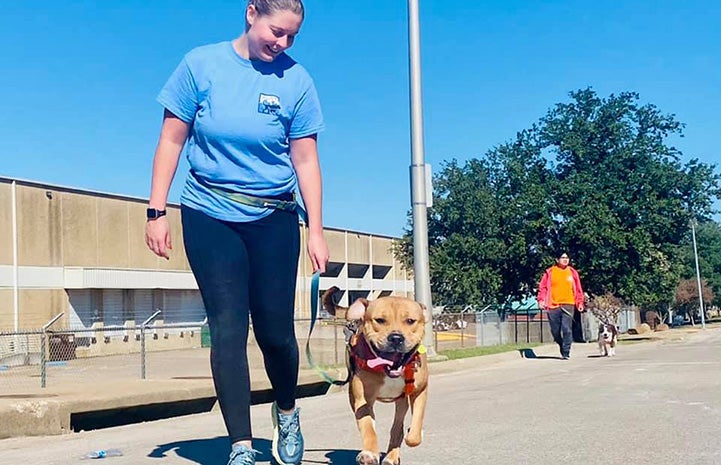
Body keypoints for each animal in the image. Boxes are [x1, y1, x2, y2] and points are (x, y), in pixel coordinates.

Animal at [324, 288, 430, 464]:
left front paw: (415, 432)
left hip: (402, 402)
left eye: (410, 321)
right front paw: (369, 453)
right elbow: (368, 428)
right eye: (380, 320)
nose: (396, 338)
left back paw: (392, 456)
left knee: (397, 428)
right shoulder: (363, 400)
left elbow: (415, 431)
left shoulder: (419, 391)